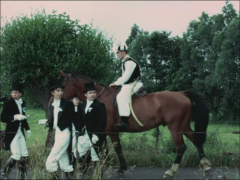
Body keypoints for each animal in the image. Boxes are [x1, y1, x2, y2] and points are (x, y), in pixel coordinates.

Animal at [59, 70, 211, 177]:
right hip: (183, 126)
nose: (59, 100)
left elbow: (115, 149)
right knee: (196, 140)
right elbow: (111, 149)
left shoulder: (109, 131)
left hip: (175, 128)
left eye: (64, 85)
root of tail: (181, 93)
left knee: (181, 147)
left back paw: (171, 172)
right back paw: (206, 167)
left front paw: (118, 169)